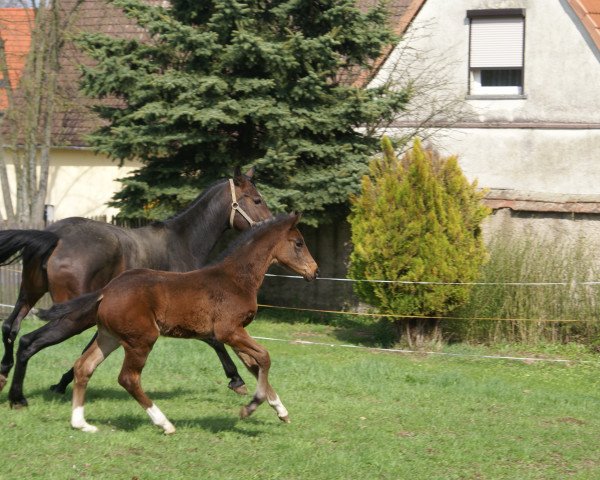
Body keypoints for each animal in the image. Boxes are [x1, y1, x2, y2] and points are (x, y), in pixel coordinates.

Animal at [0, 167, 270, 406]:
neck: (181, 243)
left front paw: (62, 382)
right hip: (72, 316)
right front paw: (237, 379)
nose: (271, 224)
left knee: (10, 327)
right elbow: (215, 339)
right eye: (257, 200)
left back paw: (4, 376)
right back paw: (17, 397)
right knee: (28, 341)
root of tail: (55, 237)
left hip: (30, 295)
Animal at [38, 214, 318, 436]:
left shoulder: (236, 332)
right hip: (141, 340)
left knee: (84, 367)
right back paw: (164, 424)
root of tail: (106, 290)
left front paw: (281, 410)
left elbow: (253, 364)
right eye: (299, 243)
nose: (314, 271)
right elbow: (264, 357)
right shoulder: (228, 331)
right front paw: (249, 408)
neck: (236, 279)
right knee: (128, 378)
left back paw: (80, 423)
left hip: (110, 337)